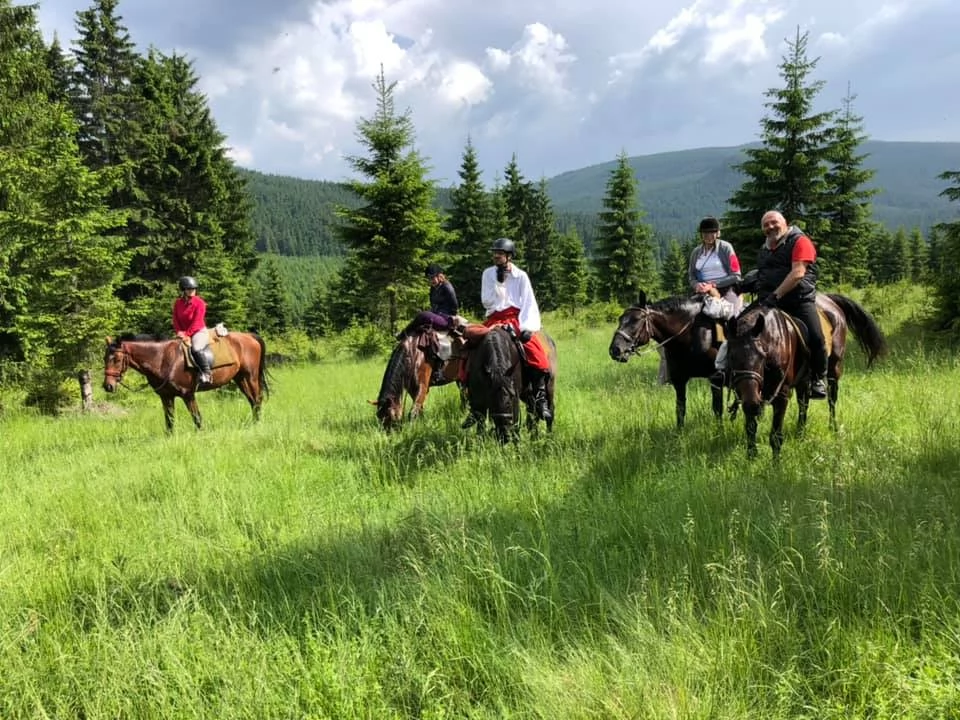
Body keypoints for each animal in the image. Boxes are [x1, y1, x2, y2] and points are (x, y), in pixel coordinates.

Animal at [103, 334, 268, 434]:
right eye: (105, 358)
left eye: (117, 359)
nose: (108, 386)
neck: (163, 359)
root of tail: (250, 336)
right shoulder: (166, 397)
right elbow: (169, 420)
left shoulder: (188, 395)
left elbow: (196, 417)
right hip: (240, 379)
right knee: (252, 401)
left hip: (251, 377)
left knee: (257, 399)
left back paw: (258, 424)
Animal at [608, 290, 736, 428]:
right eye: (620, 319)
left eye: (636, 319)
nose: (615, 350)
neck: (692, 335)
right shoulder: (679, 379)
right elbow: (680, 409)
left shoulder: (716, 378)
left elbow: (717, 409)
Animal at [728, 292, 884, 456]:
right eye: (731, 356)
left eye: (762, 356)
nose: (752, 403)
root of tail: (829, 299)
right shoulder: (747, 394)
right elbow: (750, 428)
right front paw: (751, 456)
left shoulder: (781, 394)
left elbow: (776, 436)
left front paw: (776, 462)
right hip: (803, 379)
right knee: (804, 403)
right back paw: (800, 433)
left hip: (834, 369)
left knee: (831, 400)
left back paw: (833, 428)